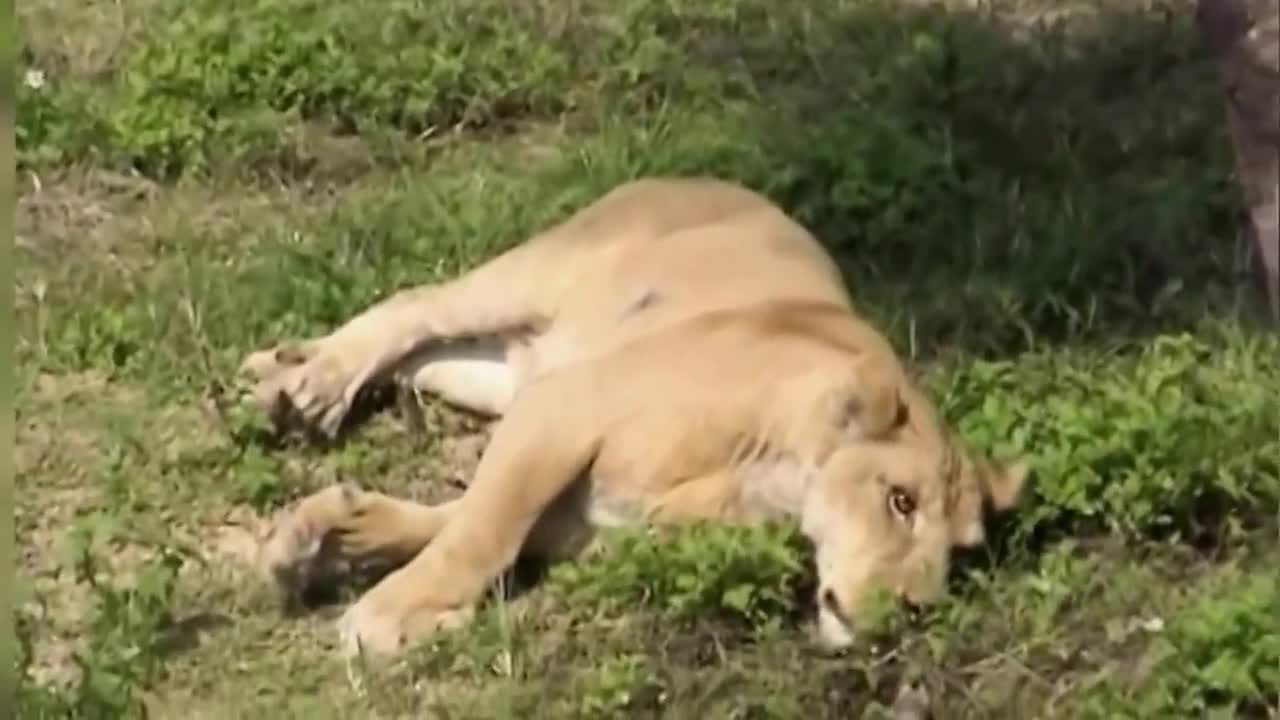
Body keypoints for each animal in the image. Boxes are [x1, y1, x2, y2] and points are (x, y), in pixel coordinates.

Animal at [241, 176, 1029, 653]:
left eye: (962, 552)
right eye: (900, 501)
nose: (918, 614)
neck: (773, 475)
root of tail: (712, 177)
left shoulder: (582, 510)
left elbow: (455, 521)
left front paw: (333, 536)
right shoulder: (561, 410)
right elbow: (480, 532)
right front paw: (387, 609)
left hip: (498, 371)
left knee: (421, 355)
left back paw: (287, 374)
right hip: (529, 280)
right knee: (417, 304)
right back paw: (303, 385)